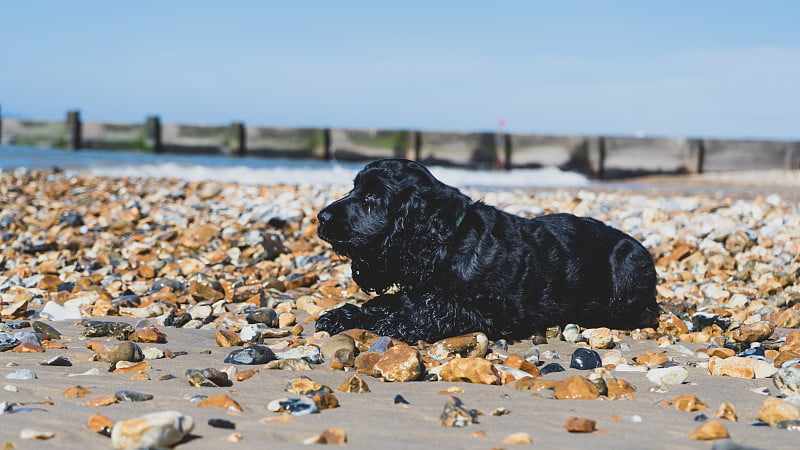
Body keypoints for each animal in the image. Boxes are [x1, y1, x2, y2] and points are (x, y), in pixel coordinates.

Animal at [316, 160, 660, 342]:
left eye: (372, 198)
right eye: (353, 189)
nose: (321, 217)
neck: (450, 241)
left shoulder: (494, 312)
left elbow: (438, 310)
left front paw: (395, 323)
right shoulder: (416, 289)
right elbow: (385, 302)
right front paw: (343, 314)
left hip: (627, 272)